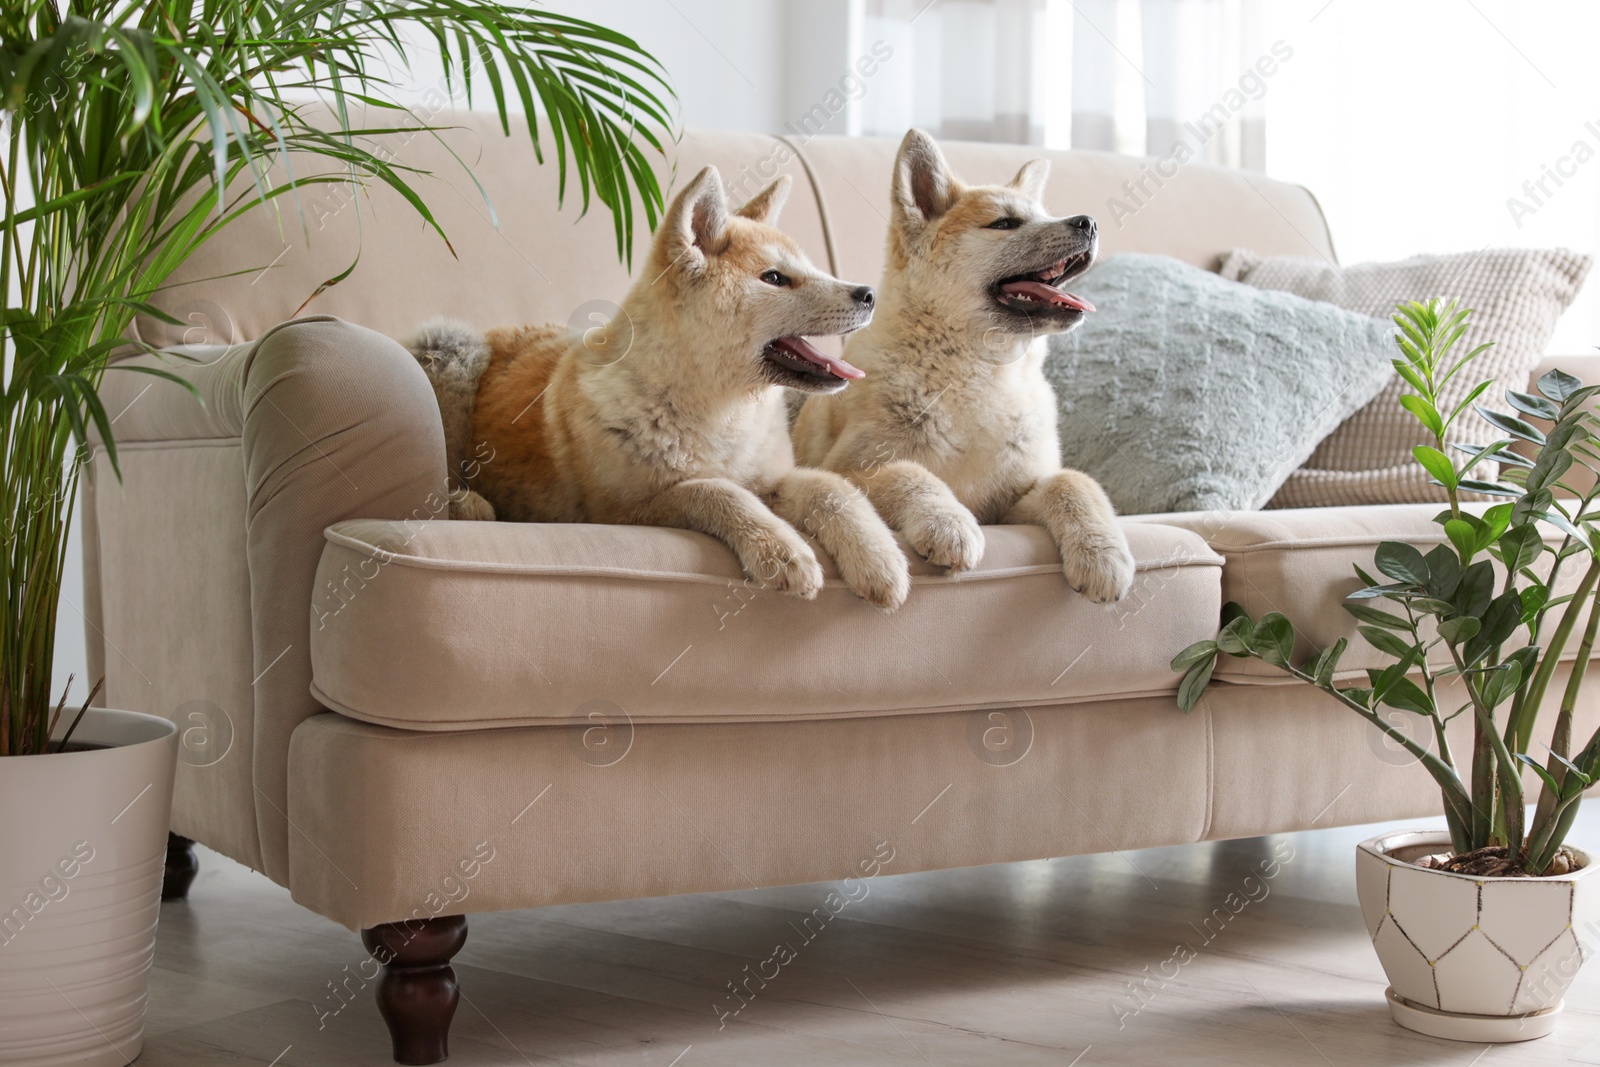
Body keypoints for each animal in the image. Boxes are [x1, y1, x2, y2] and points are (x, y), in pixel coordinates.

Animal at [412, 171, 915, 614]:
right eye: (775, 278)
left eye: (809, 268)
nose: (868, 294)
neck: (717, 412)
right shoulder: (619, 513)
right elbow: (714, 490)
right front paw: (780, 550)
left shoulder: (769, 478)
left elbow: (831, 487)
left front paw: (879, 558)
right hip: (452, 349)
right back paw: (466, 503)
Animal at [793, 127, 1132, 601]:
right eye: (1005, 223)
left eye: (1043, 215)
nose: (1088, 221)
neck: (977, 372)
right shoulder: (847, 468)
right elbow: (906, 472)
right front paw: (948, 522)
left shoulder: (1010, 504)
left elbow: (1073, 482)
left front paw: (1103, 553)